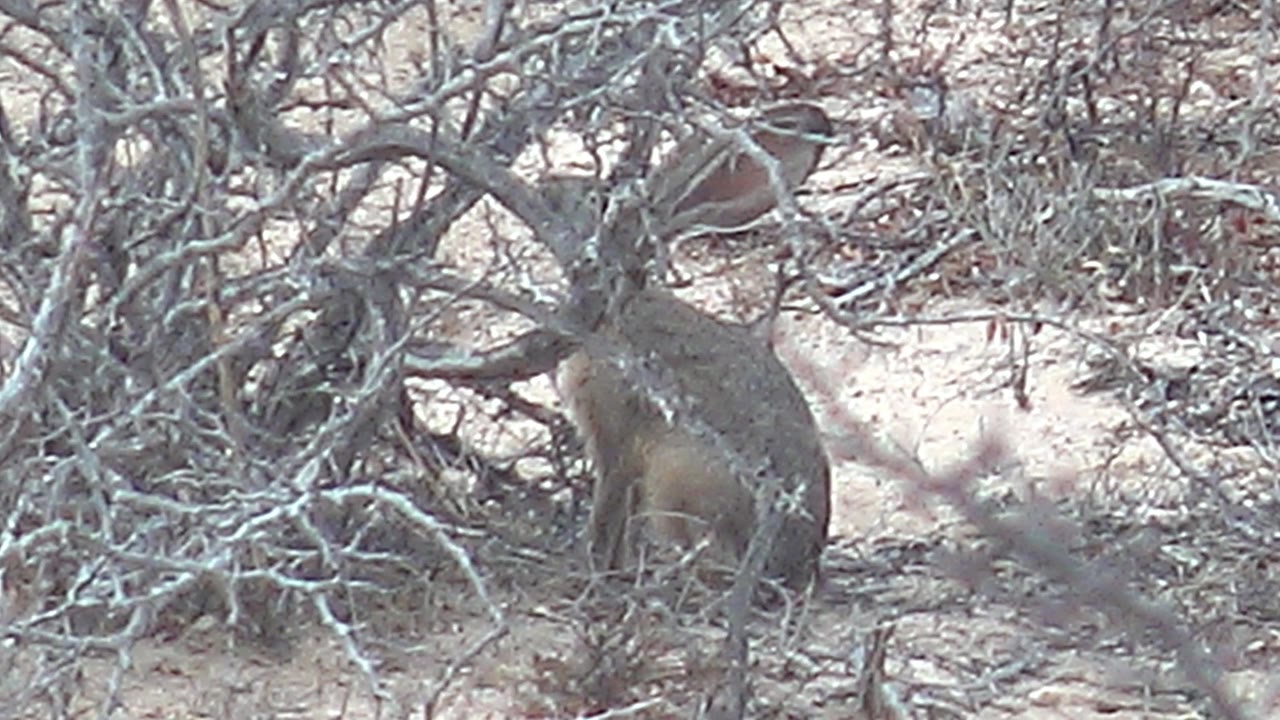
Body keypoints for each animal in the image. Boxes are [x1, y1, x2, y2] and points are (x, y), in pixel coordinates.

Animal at [552, 102, 834, 588]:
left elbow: (608, 507)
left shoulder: (616, 438)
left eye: (596, 202)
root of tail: (788, 571)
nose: (550, 184)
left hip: (679, 479)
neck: (622, 303)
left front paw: (594, 569)